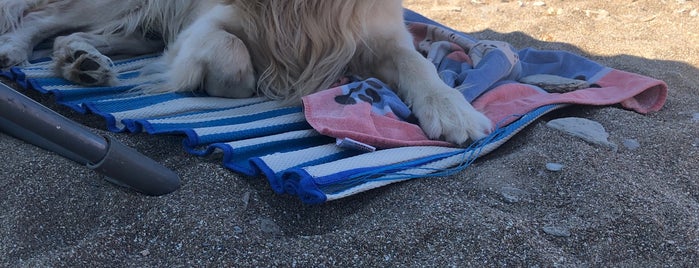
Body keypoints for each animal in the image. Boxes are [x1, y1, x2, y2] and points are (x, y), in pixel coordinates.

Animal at [0, 0, 492, 146]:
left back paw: (83, 62)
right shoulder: (204, 27)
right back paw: (16, 48)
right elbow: (235, 56)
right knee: (42, 18)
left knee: (74, 37)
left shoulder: (384, 35)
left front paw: (454, 111)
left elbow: (418, 65)